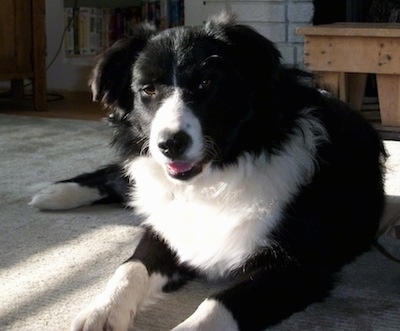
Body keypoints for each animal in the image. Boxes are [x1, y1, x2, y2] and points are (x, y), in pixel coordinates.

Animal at [32, 13, 386, 331]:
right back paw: (52, 193)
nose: (170, 144)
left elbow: (217, 304)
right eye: (147, 89)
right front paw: (102, 311)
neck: (217, 177)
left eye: (206, 82)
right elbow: (129, 268)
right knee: (117, 176)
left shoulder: (299, 266)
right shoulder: (167, 228)